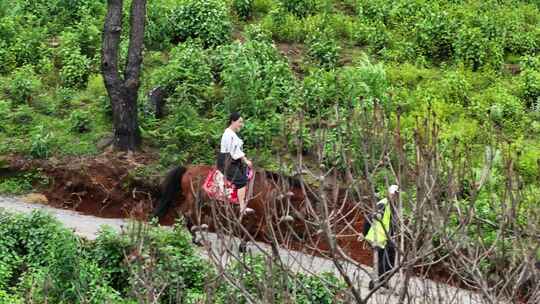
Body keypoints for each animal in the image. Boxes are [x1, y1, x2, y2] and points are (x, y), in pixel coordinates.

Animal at [151, 165, 308, 248]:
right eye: (306, 199)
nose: (305, 216)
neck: (265, 187)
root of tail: (188, 169)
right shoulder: (260, 211)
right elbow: (259, 228)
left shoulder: (254, 212)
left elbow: (251, 227)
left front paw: (242, 246)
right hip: (193, 198)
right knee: (187, 213)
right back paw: (195, 238)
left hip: (197, 199)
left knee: (185, 213)